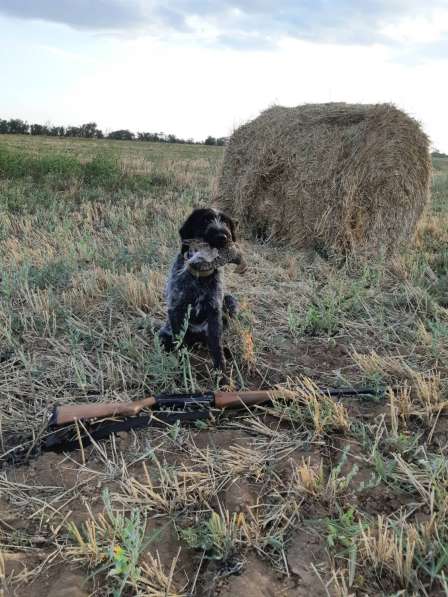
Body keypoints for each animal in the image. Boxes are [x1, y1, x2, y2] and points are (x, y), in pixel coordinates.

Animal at [159, 207, 240, 370]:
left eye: (226, 222)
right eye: (205, 220)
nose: (223, 237)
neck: (200, 275)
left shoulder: (214, 311)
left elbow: (216, 344)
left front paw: (220, 369)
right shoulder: (176, 308)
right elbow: (180, 342)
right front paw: (183, 367)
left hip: (228, 303)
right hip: (165, 332)